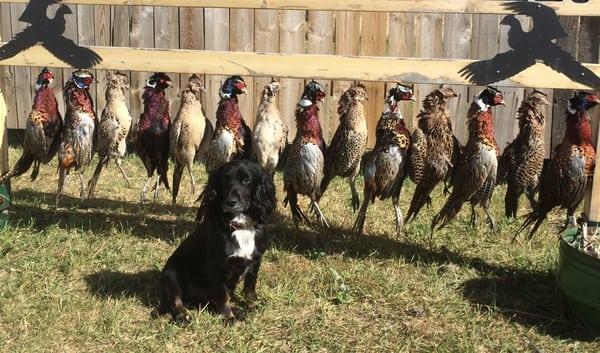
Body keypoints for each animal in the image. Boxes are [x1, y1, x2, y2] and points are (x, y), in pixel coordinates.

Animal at [157, 158, 274, 324]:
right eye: (225, 179)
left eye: (247, 180)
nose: (231, 202)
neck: (239, 226)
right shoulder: (216, 267)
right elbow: (222, 295)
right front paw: (228, 317)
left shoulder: (255, 261)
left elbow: (250, 287)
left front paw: (252, 305)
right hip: (170, 273)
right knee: (176, 300)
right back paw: (183, 314)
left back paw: (237, 310)